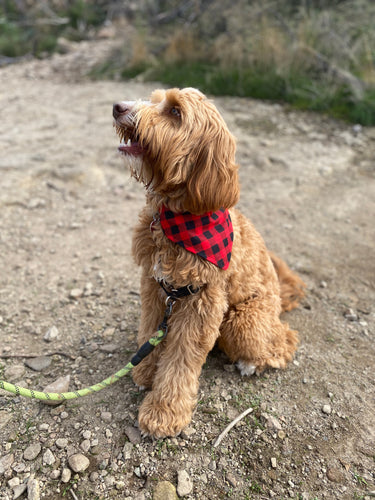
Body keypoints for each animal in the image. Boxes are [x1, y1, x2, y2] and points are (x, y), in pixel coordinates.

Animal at [111, 87, 306, 438]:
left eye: (175, 112)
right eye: (154, 98)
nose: (117, 107)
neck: (176, 220)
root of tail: (278, 302)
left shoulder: (200, 302)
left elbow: (181, 360)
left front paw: (163, 412)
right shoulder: (154, 287)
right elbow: (149, 331)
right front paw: (145, 371)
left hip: (243, 323)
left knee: (284, 341)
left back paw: (250, 363)